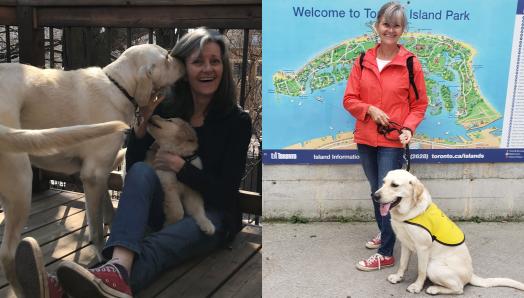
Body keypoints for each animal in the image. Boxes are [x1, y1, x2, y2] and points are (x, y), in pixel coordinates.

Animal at [0, 43, 184, 296]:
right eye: (166, 58)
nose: (183, 60)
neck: (119, 86)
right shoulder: (93, 175)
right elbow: (96, 229)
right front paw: (101, 259)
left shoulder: (99, 172)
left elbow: (109, 208)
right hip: (21, 182)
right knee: (7, 254)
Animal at [374, 170, 524, 296]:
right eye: (383, 182)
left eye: (394, 185)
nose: (374, 195)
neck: (408, 212)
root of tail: (471, 274)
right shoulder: (405, 243)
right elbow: (403, 264)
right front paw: (398, 277)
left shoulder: (423, 248)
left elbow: (421, 271)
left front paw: (417, 286)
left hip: (433, 267)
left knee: (459, 288)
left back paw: (434, 289)